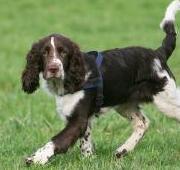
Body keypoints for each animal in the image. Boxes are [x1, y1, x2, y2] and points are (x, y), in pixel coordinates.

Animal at [22, 0, 180, 165]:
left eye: (63, 52)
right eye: (44, 52)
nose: (53, 68)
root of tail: (158, 54)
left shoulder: (78, 119)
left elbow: (56, 140)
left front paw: (36, 158)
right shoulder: (84, 118)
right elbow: (85, 141)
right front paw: (89, 159)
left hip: (166, 99)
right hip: (125, 103)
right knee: (142, 123)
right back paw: (122, 150)